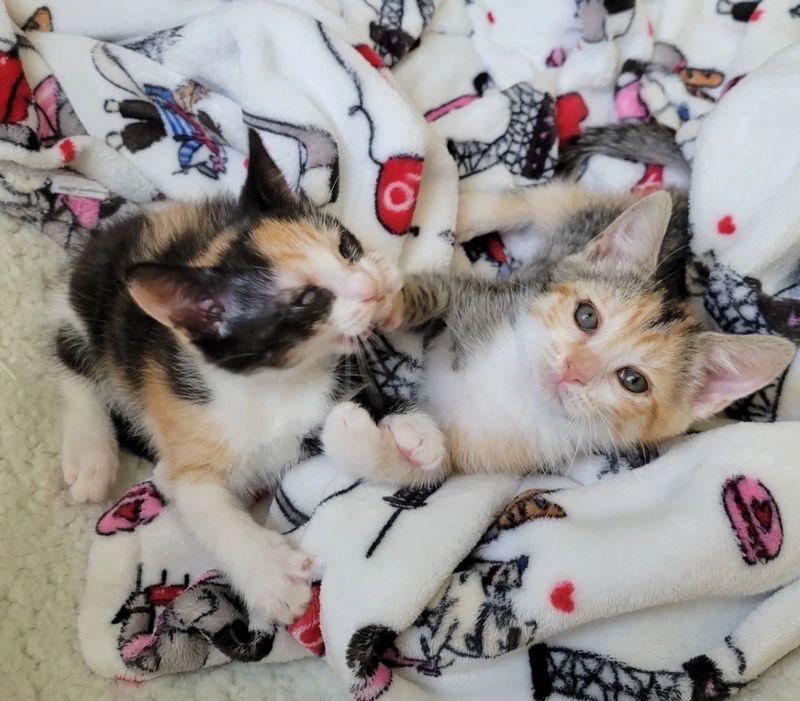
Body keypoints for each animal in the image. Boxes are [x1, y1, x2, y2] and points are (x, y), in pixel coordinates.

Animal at [54, 129, 400, 620]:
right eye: (306, 301)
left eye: (346, 248)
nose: (370, 289)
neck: (276, 384)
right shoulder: (184, 426)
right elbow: (199, 500)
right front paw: (271, 576)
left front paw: (406, 445)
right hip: (88, 303)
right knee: (71, 357)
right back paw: (90, 454)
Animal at [322, 189, 796, 484]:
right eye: (587, 316)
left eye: (633, 381)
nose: (572, 370)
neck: (516, 386)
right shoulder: (489, 294)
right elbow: (434, 290)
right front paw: (384, 301)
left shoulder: (493, 452)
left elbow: (437, 471)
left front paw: (391, 441)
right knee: (545, 197)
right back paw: (465, 207)